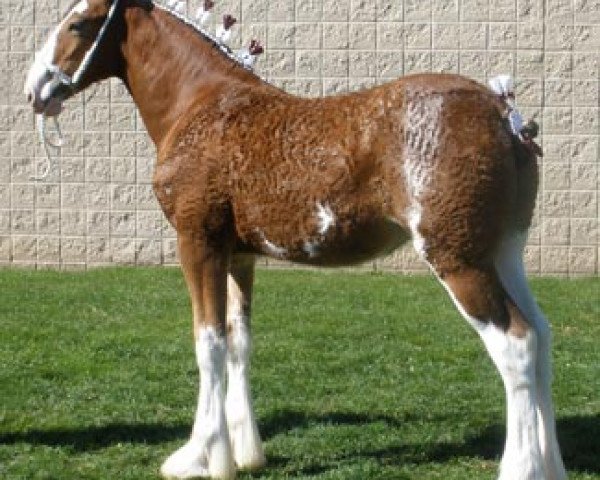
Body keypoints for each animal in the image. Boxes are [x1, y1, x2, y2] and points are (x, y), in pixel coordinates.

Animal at [23, 0, 568, 480]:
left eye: (78, 24)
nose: (35, 90)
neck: (200, 102)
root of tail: (502, 113)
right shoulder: (239, 257)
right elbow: (238, 341)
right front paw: (243, 455)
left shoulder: (198, 243)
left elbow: (207, 342)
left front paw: (199, 457)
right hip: (503, 252)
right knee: (542, 337)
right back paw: (552, 467)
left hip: (458, 259)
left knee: (517, 344)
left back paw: (520, 468)